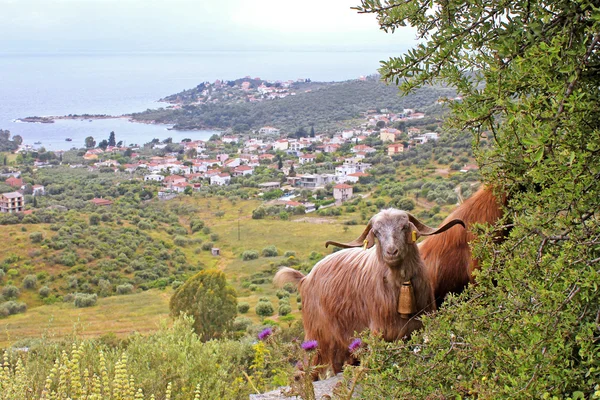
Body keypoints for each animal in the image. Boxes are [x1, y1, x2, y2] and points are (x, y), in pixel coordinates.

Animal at [274, 209, 466, 376]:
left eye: (404, 226)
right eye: (376, 232)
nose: (391, 252)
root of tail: (305, 278)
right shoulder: (379, 332)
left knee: (337, 364)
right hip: (318, 334)